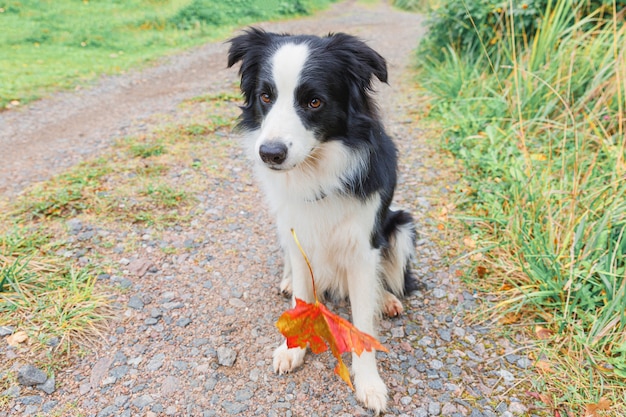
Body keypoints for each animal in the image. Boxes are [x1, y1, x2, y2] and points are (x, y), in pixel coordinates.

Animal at [227, 27, 416, 412]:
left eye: (314, 102)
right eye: (266, 96)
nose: (269, 154)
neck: (316, 171)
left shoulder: (363, 248)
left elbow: (363, 322)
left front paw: (370, 384)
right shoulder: (298, 235)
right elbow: (301, 293)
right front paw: (293, 349)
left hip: (401, 226)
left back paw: (387, 300)